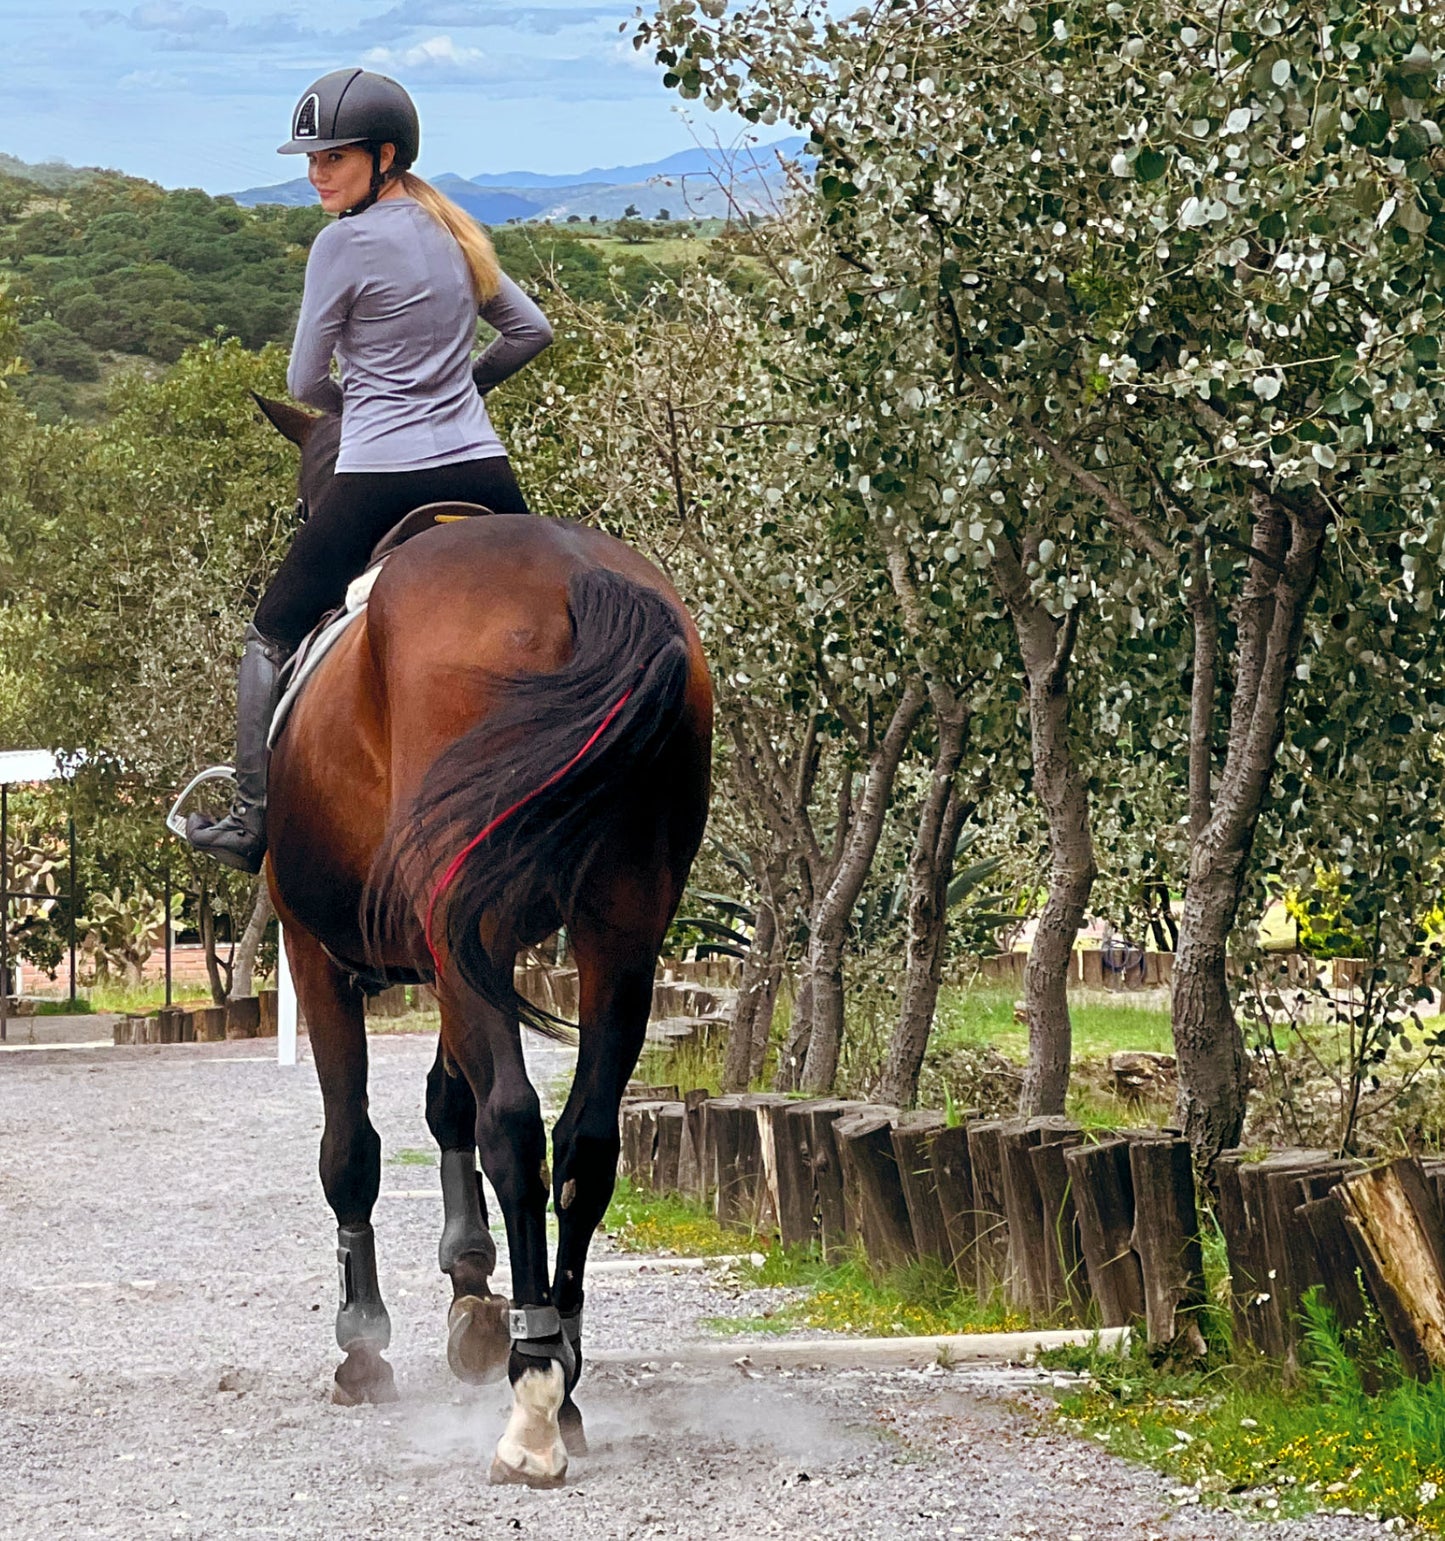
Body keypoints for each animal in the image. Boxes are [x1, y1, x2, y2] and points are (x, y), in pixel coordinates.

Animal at [257, 394, 714, 1479]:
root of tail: (577, 578)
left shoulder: (317, 949)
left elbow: (354, 1144)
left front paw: (365, 1342)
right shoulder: (454, 945)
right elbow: (443, 1100)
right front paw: (472, 1294)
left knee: (514, 1122)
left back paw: (534, 1393)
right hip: (619, 928)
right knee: (585, 1136)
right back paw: (562, 1368)